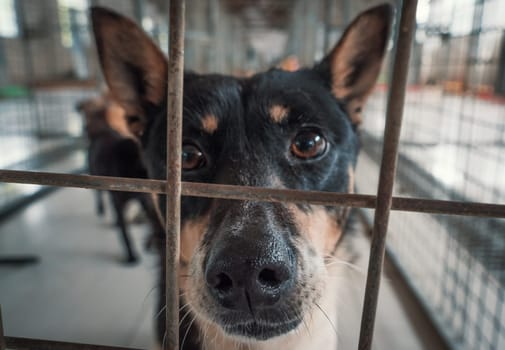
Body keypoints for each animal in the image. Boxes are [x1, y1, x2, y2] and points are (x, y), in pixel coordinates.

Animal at [77, 94, 163, 264]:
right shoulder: (122, 202)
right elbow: (125, 234)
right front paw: (131, 256)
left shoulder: (147, 203)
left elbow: (151, 224)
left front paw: (150, 244)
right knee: (100, 196)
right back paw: (102, 210)